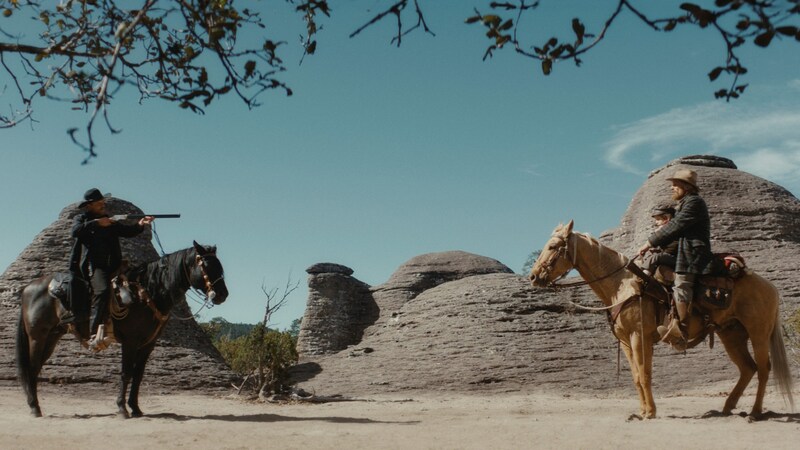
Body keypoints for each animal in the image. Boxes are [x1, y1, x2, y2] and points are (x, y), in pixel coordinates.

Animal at [15, 241, 228, 416]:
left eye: (220, 266)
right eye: (206, 266)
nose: (222, 295)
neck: (148, 293)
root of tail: (28, 288)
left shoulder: (148, 343)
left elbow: (138, 375)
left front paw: (135, 408)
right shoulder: (130, 341)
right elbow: (126, 373)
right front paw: (122, 408)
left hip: (52, 337)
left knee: (36, 367)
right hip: (37, 337)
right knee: (31, 367)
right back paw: (34, 407)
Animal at [532, 221, 792, 418]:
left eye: (553, 246)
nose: (534, 276)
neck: (623, 285)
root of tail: (770, 287)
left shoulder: (639, 337)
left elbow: (645, 374)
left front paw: (650, 412)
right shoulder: (626, 341)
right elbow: (637, 377)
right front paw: (642, 411)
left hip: (758, 334)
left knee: (763, 368)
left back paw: (755, 412)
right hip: (731, 335)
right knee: (748, 368)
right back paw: (727, 407)